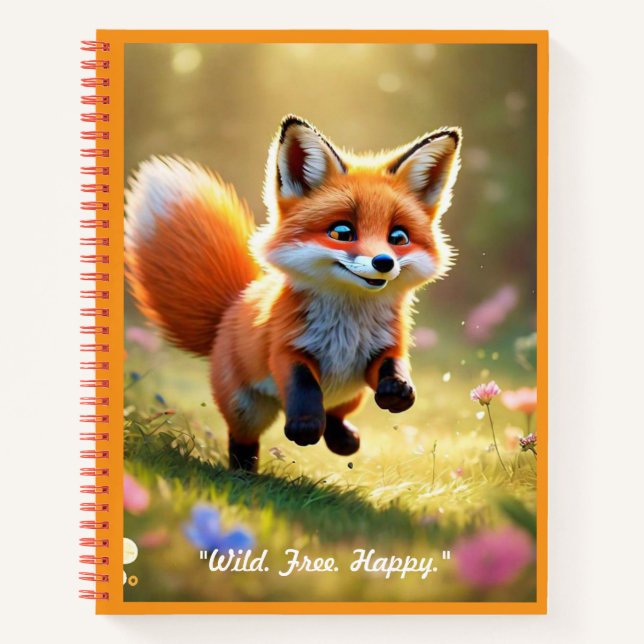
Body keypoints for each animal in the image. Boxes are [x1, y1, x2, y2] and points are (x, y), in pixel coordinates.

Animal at [125, 115, 462, 472]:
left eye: (398, 237)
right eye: (342, 232)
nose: (383, 262)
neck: (346, 327)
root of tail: (230, 309)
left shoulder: (382, 347)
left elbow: (392, 365)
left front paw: (397, 390)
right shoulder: (285, 347)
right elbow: (303, 386)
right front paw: (304, 425)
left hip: (350, 394)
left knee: (336, 415)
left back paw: (344, 439)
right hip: (245, 407)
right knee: (243, 440)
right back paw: (245, 474)